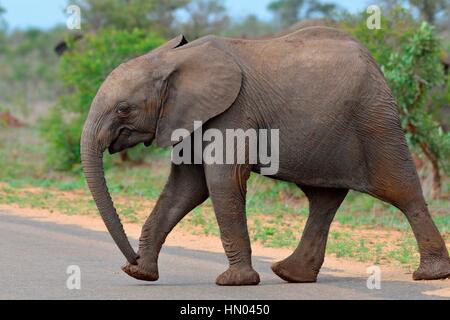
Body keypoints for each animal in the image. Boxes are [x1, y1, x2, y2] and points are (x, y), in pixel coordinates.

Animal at [80, 26, 450, 284]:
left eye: (124, 109)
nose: (130, 258)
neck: (173, 61)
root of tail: (374, 62)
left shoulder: (233, 113)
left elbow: (220, 181)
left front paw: (234, 283)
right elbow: (185, 188)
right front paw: (140, 275)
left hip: (376, 121)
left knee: (400, 190)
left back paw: (431, 275)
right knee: (323, 201)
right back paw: (290, 275)